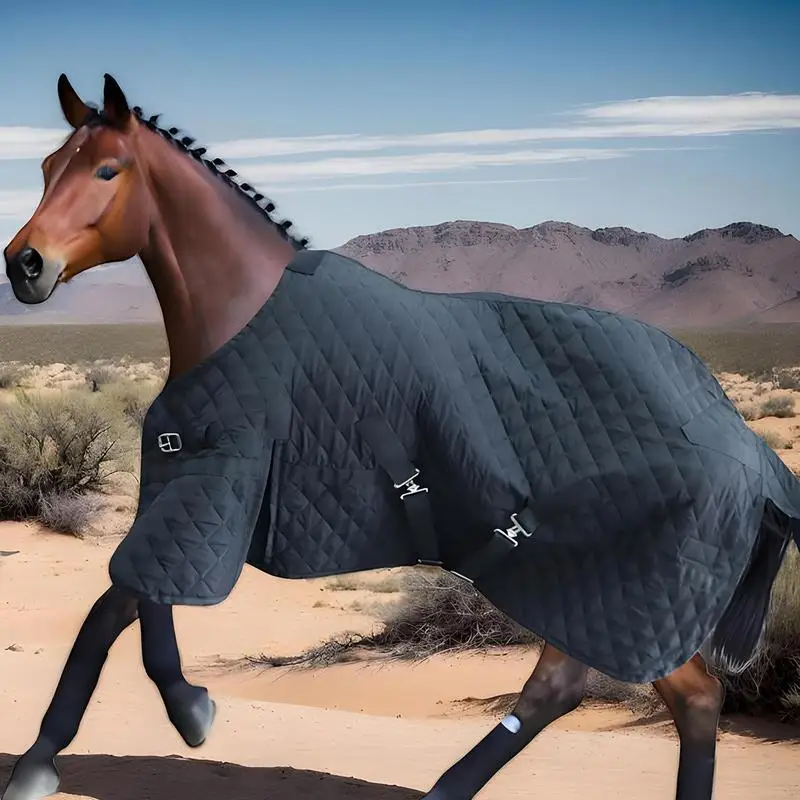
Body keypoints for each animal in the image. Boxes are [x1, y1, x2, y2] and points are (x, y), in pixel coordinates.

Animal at [2, 73, 799, 800]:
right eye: (47, 165)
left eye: (108, 170)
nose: (24, 264)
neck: (244, 313)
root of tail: (747, 443)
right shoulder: (198, 490)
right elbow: (128, 604)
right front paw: (142, 723)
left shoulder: (217, 487)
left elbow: (121, 607)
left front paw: (137, 729)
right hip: (591, 587)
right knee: (639, 694)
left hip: (606, 586)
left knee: (627, 692)